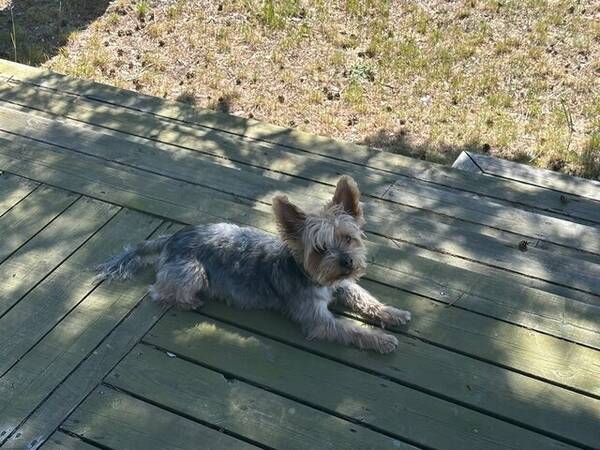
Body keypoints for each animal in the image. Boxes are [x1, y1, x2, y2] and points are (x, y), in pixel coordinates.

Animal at [96, 178, 410, 354]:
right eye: (320, 249)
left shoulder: (342, 283)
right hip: (193, 273)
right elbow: (350, 329)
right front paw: (381, 340)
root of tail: (170, 237)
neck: (314, 276)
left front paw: (392, 313)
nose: (347, 262)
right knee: (159, 291)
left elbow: (363, 296)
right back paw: (189, 302)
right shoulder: (318, 319)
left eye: (348, 238)